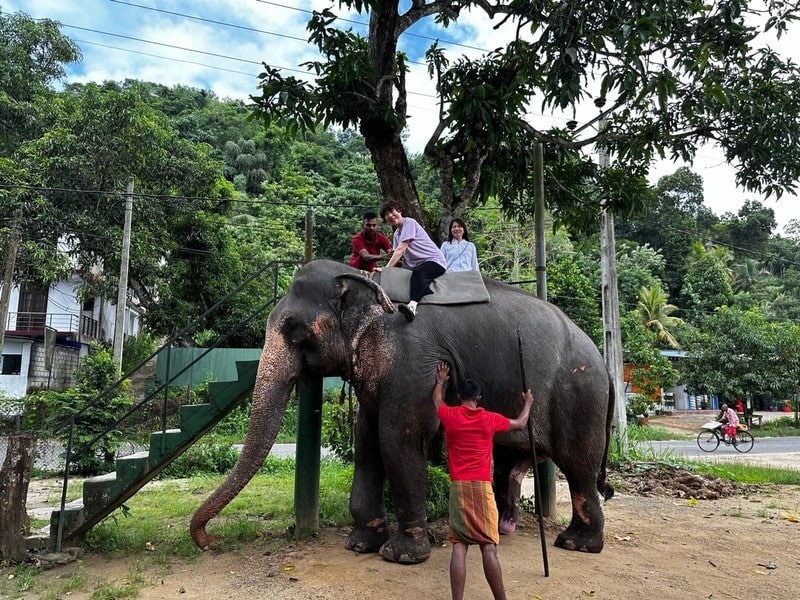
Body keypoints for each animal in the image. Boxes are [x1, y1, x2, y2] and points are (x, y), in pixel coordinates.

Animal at [191, 258, 616, 564]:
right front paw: (360, 545)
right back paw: (503, 528)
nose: (209, 540)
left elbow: (397, 439)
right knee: (512, 461)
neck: (366, 279)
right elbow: (367, 440)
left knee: (578, 465)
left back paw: (576, 545)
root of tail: (605, 363)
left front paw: (400, 555)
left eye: (295, 331)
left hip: (580, 395)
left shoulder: (413, 362)